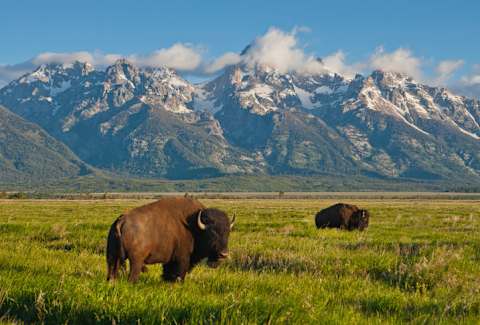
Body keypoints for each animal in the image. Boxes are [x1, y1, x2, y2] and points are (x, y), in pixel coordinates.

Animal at [108, 196, 236, 282]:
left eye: (228, 232)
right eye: (212, 233)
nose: (223, 254)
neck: (194, 226)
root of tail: (122, 221)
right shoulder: (183, 259)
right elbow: (180, 274)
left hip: (112, 258)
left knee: (111, 273)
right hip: (136, 260)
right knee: (132, 276)